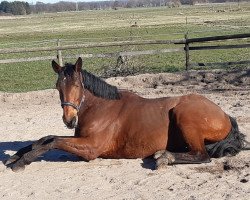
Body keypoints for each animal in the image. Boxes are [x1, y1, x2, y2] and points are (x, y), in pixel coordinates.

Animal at [3, 57, 248, 171]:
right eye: (57, 86)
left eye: (78, 85)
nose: (69, 119)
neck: (100, 108)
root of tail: (225, 115)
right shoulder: (79, 138)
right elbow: (45, 139)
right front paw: (16, 156)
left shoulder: (91, 148)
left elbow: (52, 142)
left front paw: (22, 161)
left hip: (183, 115)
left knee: (202, 155)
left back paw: (164, 157)